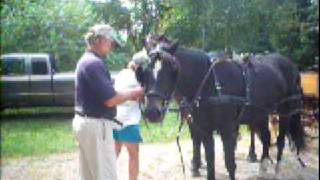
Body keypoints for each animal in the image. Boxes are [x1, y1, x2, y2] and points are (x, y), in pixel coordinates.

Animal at [138, 35, 304, 180]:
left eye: (173, 68)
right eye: (144, 71)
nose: (152, 112)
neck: (210, 83)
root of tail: (291, 65)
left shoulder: (227, 129)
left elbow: (229, 163)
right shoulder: (204, 129)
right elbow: (210, 162)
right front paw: (197, 166)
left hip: (284, 112)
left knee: (280, 140)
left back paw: (276, 169)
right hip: (260, 113)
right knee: (266, 137)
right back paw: (262, 168)